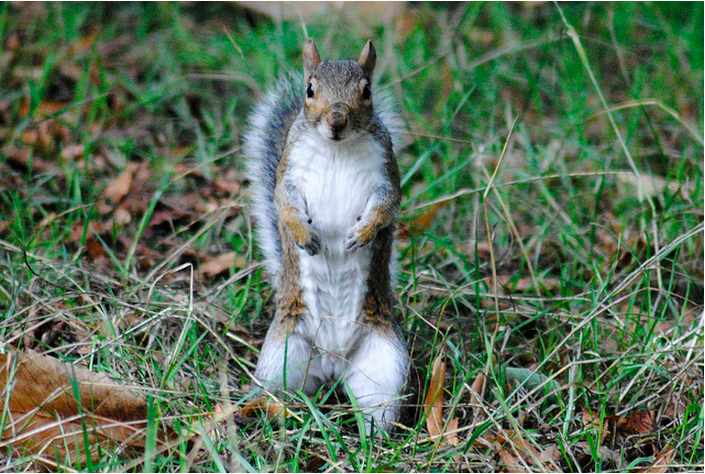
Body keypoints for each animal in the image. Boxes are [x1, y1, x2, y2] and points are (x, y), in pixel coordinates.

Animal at [242, 39, 408, 436]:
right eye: (310, 90)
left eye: (366, 91)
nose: (336, 120)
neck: (337, 148)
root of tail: (333, 362)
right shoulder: (288, 175)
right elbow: (284, 203)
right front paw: (306, 235)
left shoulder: (386, 175)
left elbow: (386, 205)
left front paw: (362, 233)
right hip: (281, 358)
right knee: (279, 396)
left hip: (384, 364)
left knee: (378, 409)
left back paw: (372, 439)